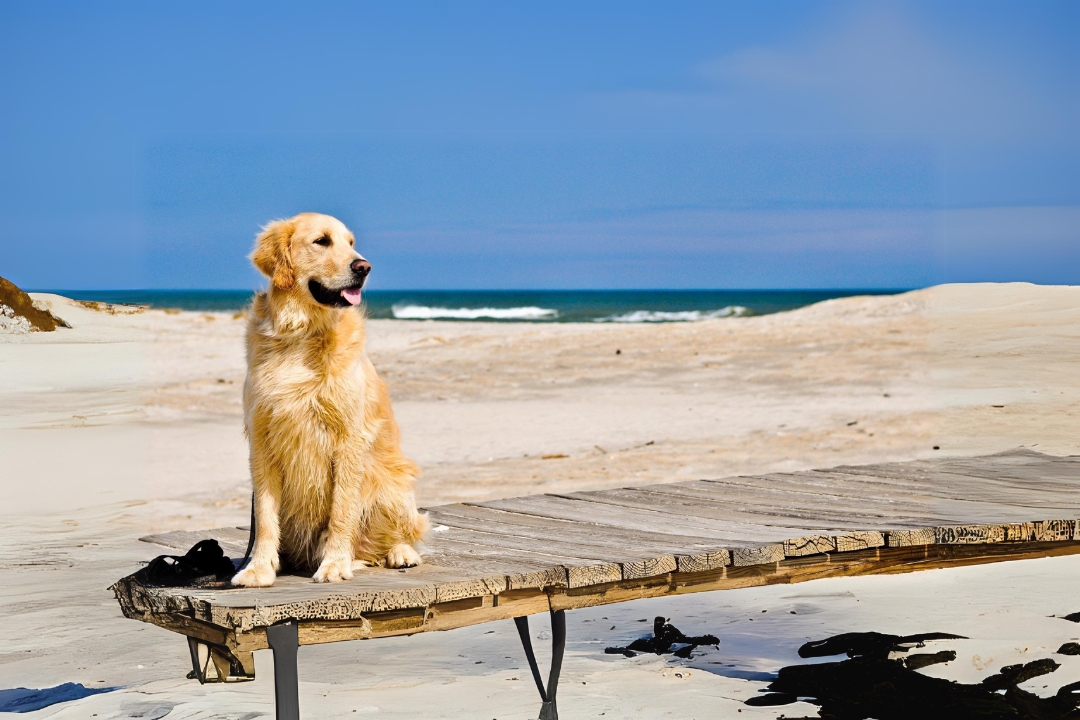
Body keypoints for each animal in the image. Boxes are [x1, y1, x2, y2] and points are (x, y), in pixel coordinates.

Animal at [231, 212, 425, 587]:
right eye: (322, 241)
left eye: (351, 243)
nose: (364, 267)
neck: (300, 334)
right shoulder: (261, 441)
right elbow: (264, 517)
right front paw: (259, 568)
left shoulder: (349, 439)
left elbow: (341, 511)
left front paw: (335, 564)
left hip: (392, 482)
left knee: (396, 534)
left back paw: (400, 553)